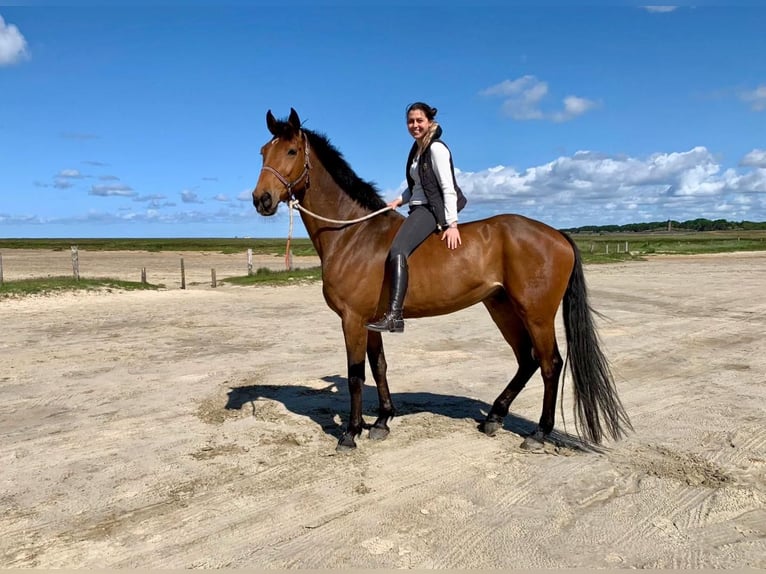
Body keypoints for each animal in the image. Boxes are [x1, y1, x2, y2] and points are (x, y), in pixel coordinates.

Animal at [255, 106, 632, 452]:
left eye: (291, 151)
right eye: (262, 152)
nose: (262, 199)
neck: (352, 234)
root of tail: (557, 234)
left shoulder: (352, 319)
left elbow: (355, 375)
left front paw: (350, 433)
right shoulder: (368, 321)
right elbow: (379, 367)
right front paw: (381, 421)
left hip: (536, 313)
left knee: (549, 364)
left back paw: (538, 433)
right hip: (501, 306)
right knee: (526, 360)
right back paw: (494, 417)